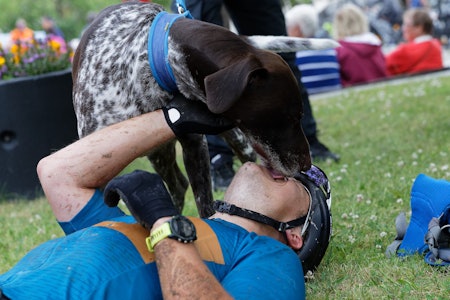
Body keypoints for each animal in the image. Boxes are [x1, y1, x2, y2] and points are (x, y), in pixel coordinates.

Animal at [71, 2, 338, 218]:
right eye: (288, 117)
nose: (307, 165)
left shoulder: (195, 146)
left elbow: (205, 204)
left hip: (231, 144)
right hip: (159, 153)